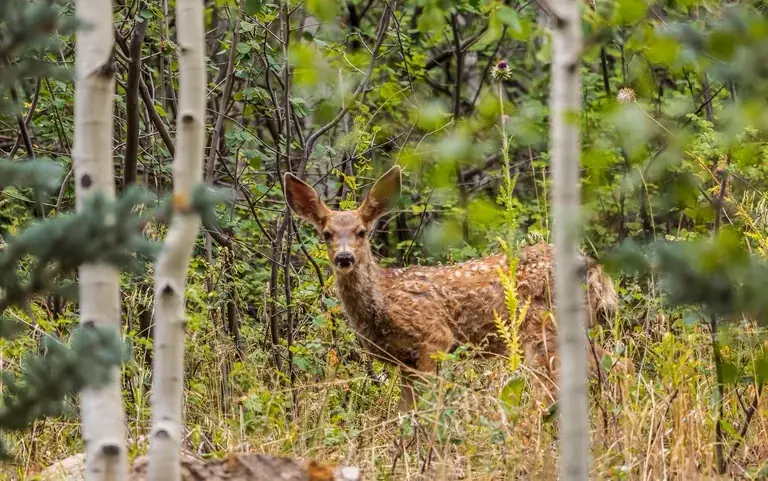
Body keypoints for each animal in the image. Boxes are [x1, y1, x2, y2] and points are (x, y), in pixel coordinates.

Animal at [283, 165, 626, 412]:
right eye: (327, 234)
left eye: (361, 232)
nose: (344, 258)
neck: (382, 301)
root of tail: (594, 268)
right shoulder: (404, 362)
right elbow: (404, 414)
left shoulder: (434, 338)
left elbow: (427, 408)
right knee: (612, 362)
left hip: (543, 330)